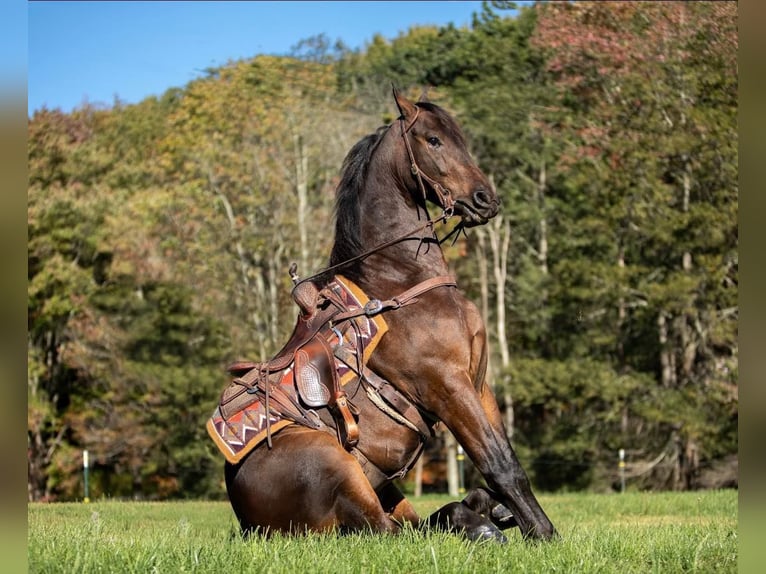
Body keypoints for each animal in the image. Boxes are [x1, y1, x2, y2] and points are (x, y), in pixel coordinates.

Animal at [224, 89, 560, 544]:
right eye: (433, 140)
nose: (485, 199)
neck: (400, 279)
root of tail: (246, 519)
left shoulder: (477, 382)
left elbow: (506, 460)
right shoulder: (447, 385)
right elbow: (501, 465)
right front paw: (544, 533)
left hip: (385, 490)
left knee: (421, 524)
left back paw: (481, 515)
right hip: (336, 466)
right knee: (388, 531)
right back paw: (481, 523)